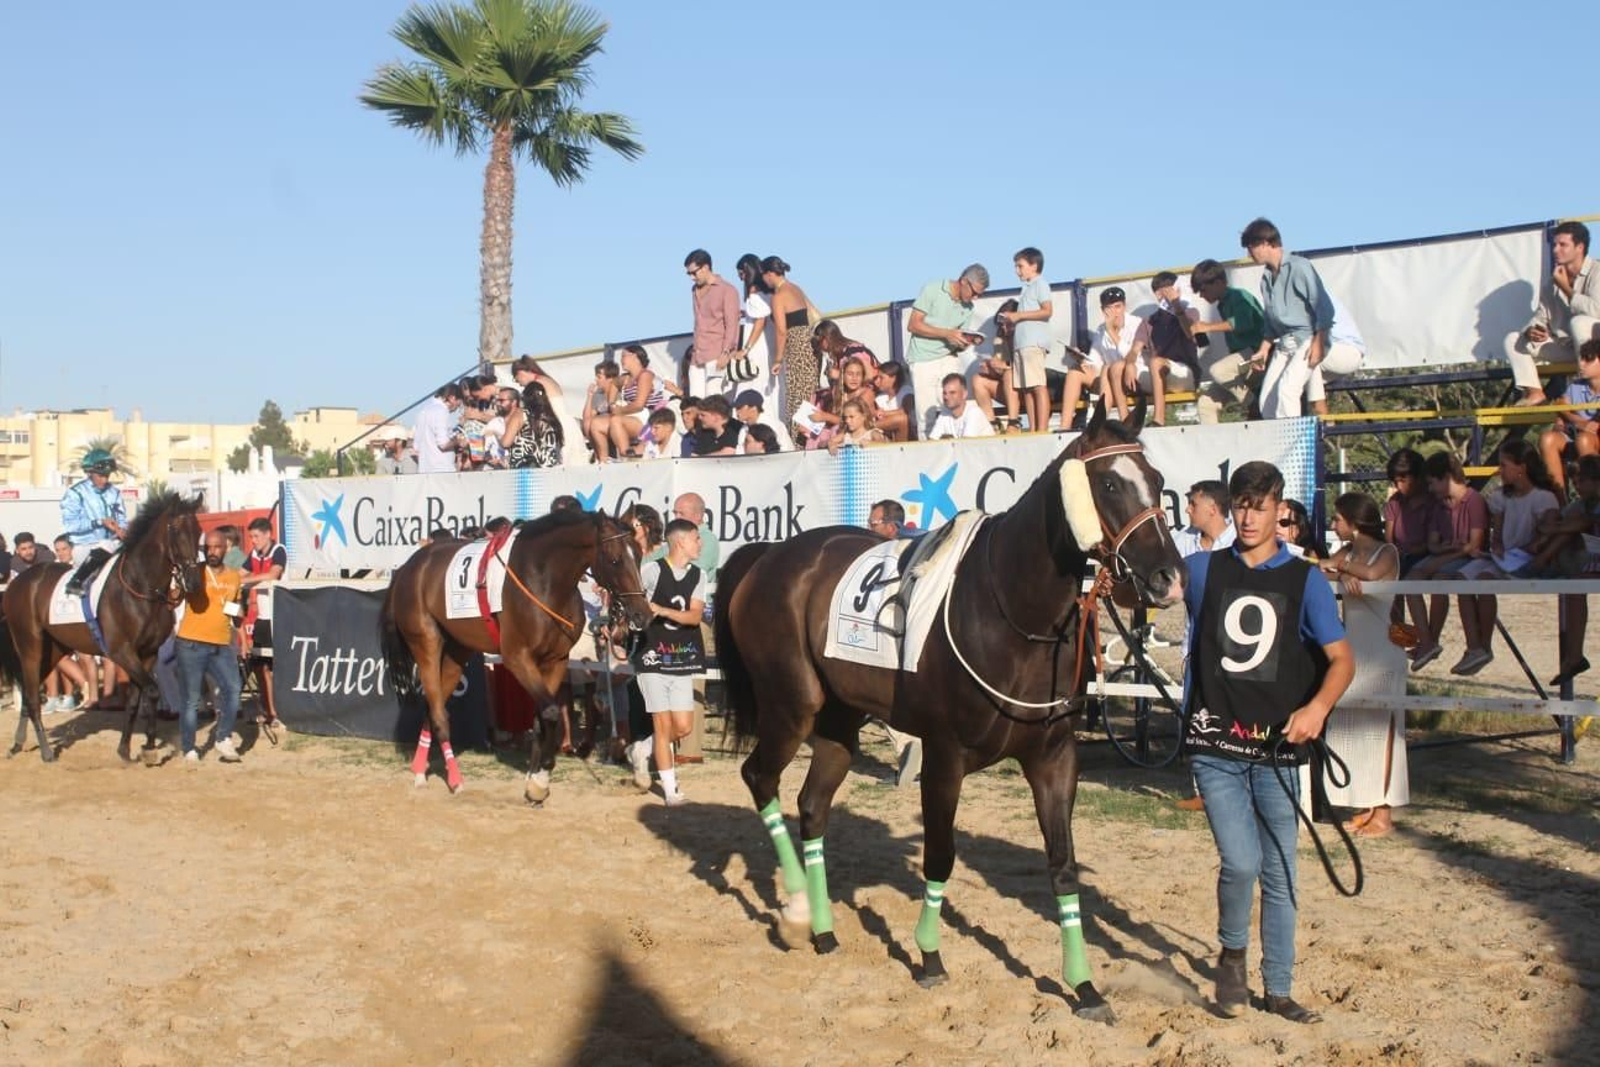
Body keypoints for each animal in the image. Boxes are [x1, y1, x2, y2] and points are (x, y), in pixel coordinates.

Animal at [0, 492, 204, 763]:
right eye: (176, 530)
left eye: (198, 530)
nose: (193, 581)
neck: (140, 588)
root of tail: (17, 583)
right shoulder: (121, 651)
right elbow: (151, 691)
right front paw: (149, 746)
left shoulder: (148, 653)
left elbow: (135, 700)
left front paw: (127, 749)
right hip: (30, 647)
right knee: (32, 698)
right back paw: (46, 751)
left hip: (53, 650)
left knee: (27, 694)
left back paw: (17, 744)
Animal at [380, 508, 651, 802]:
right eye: (615, 560)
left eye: (639, 555)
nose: (642, 614)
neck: (544, 579)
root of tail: (409, 567)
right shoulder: (518, 658)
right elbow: (551, 712)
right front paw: (542, 775)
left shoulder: (555, 661)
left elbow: (541, 718)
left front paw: (535, 780)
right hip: (426, 643)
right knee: (439, 713)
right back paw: (453, 779)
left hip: (457, 651)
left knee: (434, 706)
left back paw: (420, 770)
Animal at [712, 402, 1185, 1024]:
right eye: (1108, 484)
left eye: (1156, 481)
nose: (1169, 578)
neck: (1012, 612)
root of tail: (768, 555)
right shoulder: (944, 756)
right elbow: (939, 857)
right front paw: (930, 956)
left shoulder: (1055, 759)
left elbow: (1062, 866)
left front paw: (1084, 986)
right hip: (791, 708)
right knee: (759, 778)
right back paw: (794, 912)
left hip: (839, 723)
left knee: (812, 808)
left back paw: (822, 929)